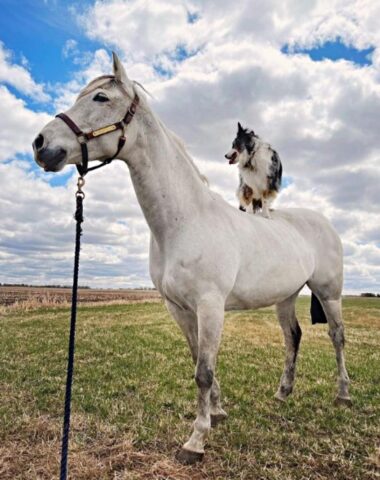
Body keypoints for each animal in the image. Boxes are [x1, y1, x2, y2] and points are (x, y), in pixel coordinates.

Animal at [34, 52, 352, 464]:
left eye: (101, 98)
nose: (41, 144)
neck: (185, 221)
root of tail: (324, 222)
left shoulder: (210, 306)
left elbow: (204, 370)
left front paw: (196, 440)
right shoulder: (180, 309)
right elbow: (199, 361)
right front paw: (216, 412)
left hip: (329, 293)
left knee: (336, 336)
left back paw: (343, 394)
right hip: (285, 296)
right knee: (292, 336)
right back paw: (283, 393)